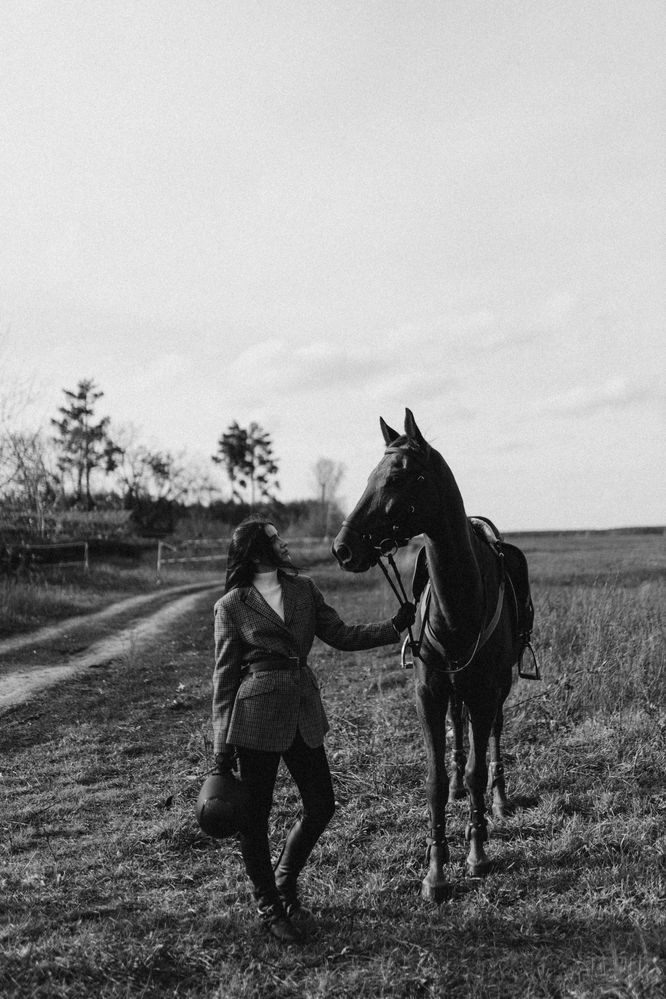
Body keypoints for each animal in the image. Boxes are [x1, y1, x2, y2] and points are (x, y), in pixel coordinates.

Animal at [334, 410, 532, 904]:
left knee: (493, 738)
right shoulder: (429, 693)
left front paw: (477, 851)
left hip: (496, 690)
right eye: (369, 476)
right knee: (457, 734)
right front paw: (436, 868)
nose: (343, 548)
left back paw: (499, 799)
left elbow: (480, 766)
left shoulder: (484, 693)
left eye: (397, 478)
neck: (457, 604)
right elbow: (436, 779)